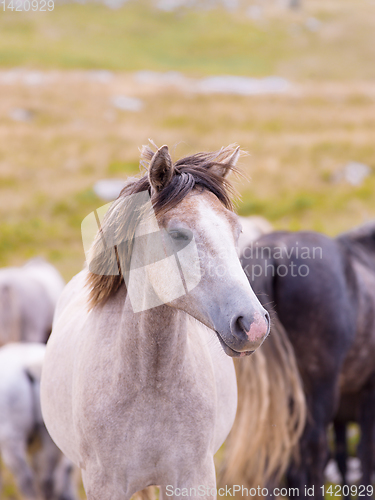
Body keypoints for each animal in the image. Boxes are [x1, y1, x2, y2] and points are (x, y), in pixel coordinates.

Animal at [0, 342, 77, 500]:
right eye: (70, 471)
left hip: (11, 440)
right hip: (49, 435)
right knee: (47, 479)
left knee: (28, 481)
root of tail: (29, 365)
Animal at [41, 144, 270, 500]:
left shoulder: (193, 479)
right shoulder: (105, 485)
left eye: (237, 231)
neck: (148, 385)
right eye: (177, 234)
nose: (253, 324)